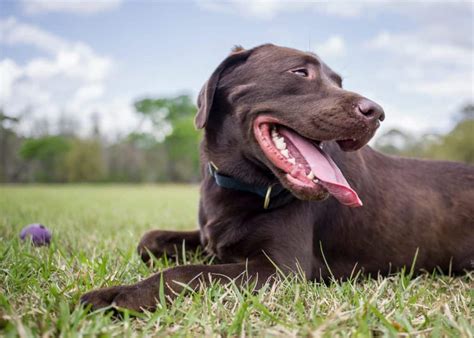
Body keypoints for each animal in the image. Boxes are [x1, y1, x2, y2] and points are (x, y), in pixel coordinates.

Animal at [82, 43, 474, 310]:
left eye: (338, 81)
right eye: (300, 72)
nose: (376, 113)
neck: (241, 185)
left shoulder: (280, 269)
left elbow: (186, 273)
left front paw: (116, 296)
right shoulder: (212, 238)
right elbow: (149, 239)